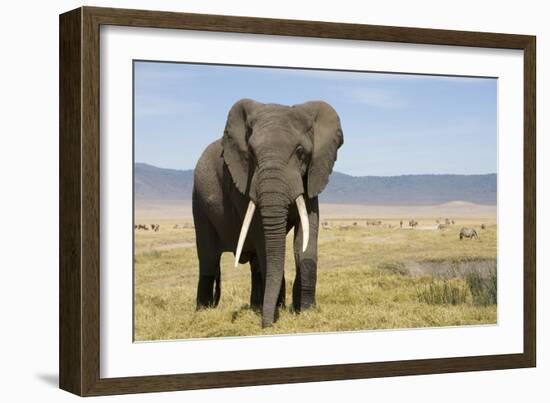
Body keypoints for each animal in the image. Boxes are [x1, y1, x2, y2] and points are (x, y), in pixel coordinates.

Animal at [192, 98, 342, 328]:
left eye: (300, 152)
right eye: (252, 154)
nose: (266, 325)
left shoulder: (312, 176)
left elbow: (306, 236)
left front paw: (305, 311)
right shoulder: (243, 183)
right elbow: (263, 239)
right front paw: (277, 311)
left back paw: (256, 306)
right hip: (199, 203)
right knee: (208, 257)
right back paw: (202, 311)